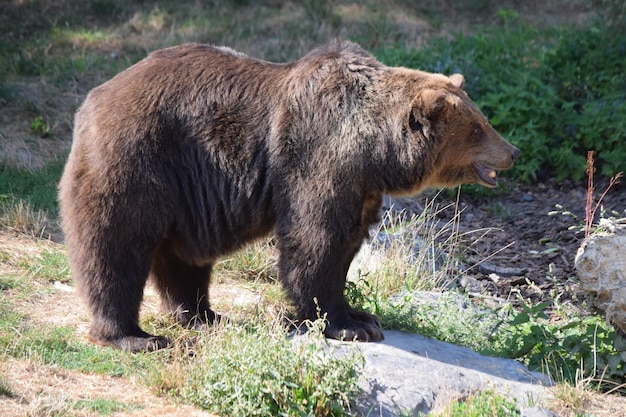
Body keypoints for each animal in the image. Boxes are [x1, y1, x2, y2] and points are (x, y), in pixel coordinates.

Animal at [59, 40, 516, 350]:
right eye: (478, 128)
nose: (513, 151)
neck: (374, 150)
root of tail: (93, 99)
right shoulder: (317, 160)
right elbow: (316, 242)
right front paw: (348, 325)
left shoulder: (362, 188)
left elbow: (345, 245)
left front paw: (362, 315)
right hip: (138, 160)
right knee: (115, 248)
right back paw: (133, 335)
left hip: (183, 195)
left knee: (182, 259)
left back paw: (205, 315)